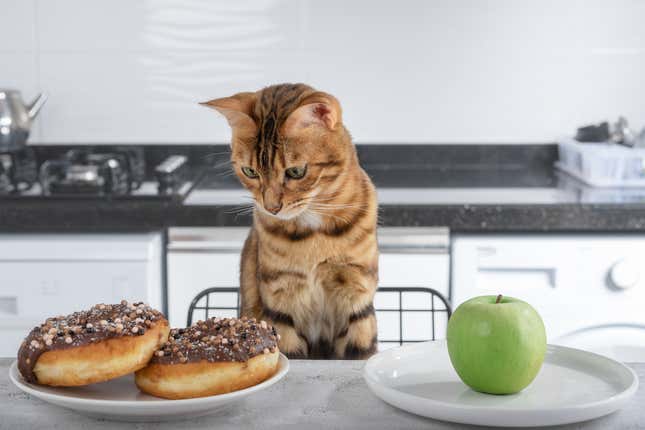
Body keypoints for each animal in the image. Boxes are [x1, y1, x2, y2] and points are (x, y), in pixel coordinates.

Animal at [203, 82, 378, 358]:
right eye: (249, 171)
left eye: (296, 171)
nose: (271, 207)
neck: (315, 233)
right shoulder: (280, 297)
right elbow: (289, 349)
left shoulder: (357, 290)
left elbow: (360, 348)